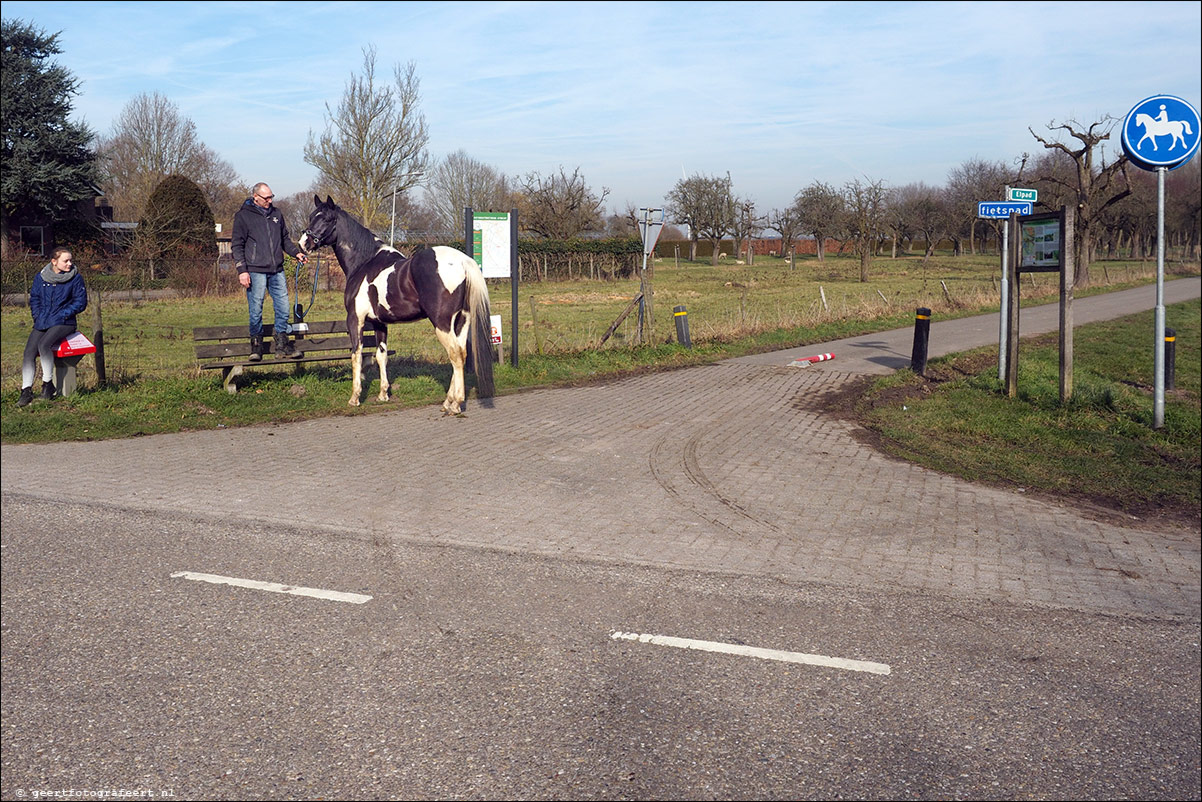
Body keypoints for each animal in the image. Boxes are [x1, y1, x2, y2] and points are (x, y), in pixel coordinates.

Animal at [299, 194, 492, 413]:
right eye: (312, 216)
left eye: (326, 219)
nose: (304, 243)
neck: (364, 262)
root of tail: (462, 261)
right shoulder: (379, 323)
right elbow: (381, 355)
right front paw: (383, 394)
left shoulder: (355, 319)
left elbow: (356, 354)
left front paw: (355, 397)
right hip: (461, 322)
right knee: (461, 353)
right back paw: (448, 402)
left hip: (442, 324)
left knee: (455, 355)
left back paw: (456, 403)